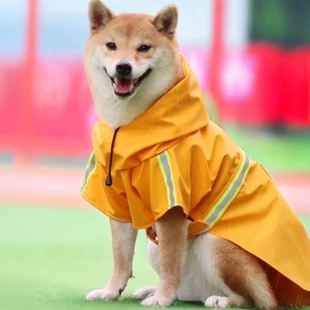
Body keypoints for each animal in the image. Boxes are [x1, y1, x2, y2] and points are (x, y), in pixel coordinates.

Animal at [81, 1, 310, 308]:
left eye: (144, 47)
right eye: (111, 45)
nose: (123, 66)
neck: (129, 126)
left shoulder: (171, 208)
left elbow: (170, 262)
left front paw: (162, 298)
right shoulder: (118, 203)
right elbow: (120, 258)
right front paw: (110, 291)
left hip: (216, 245)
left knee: (255, 299)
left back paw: (220, 299)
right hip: (155, 247)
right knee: (186, 289)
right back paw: (153, 289)